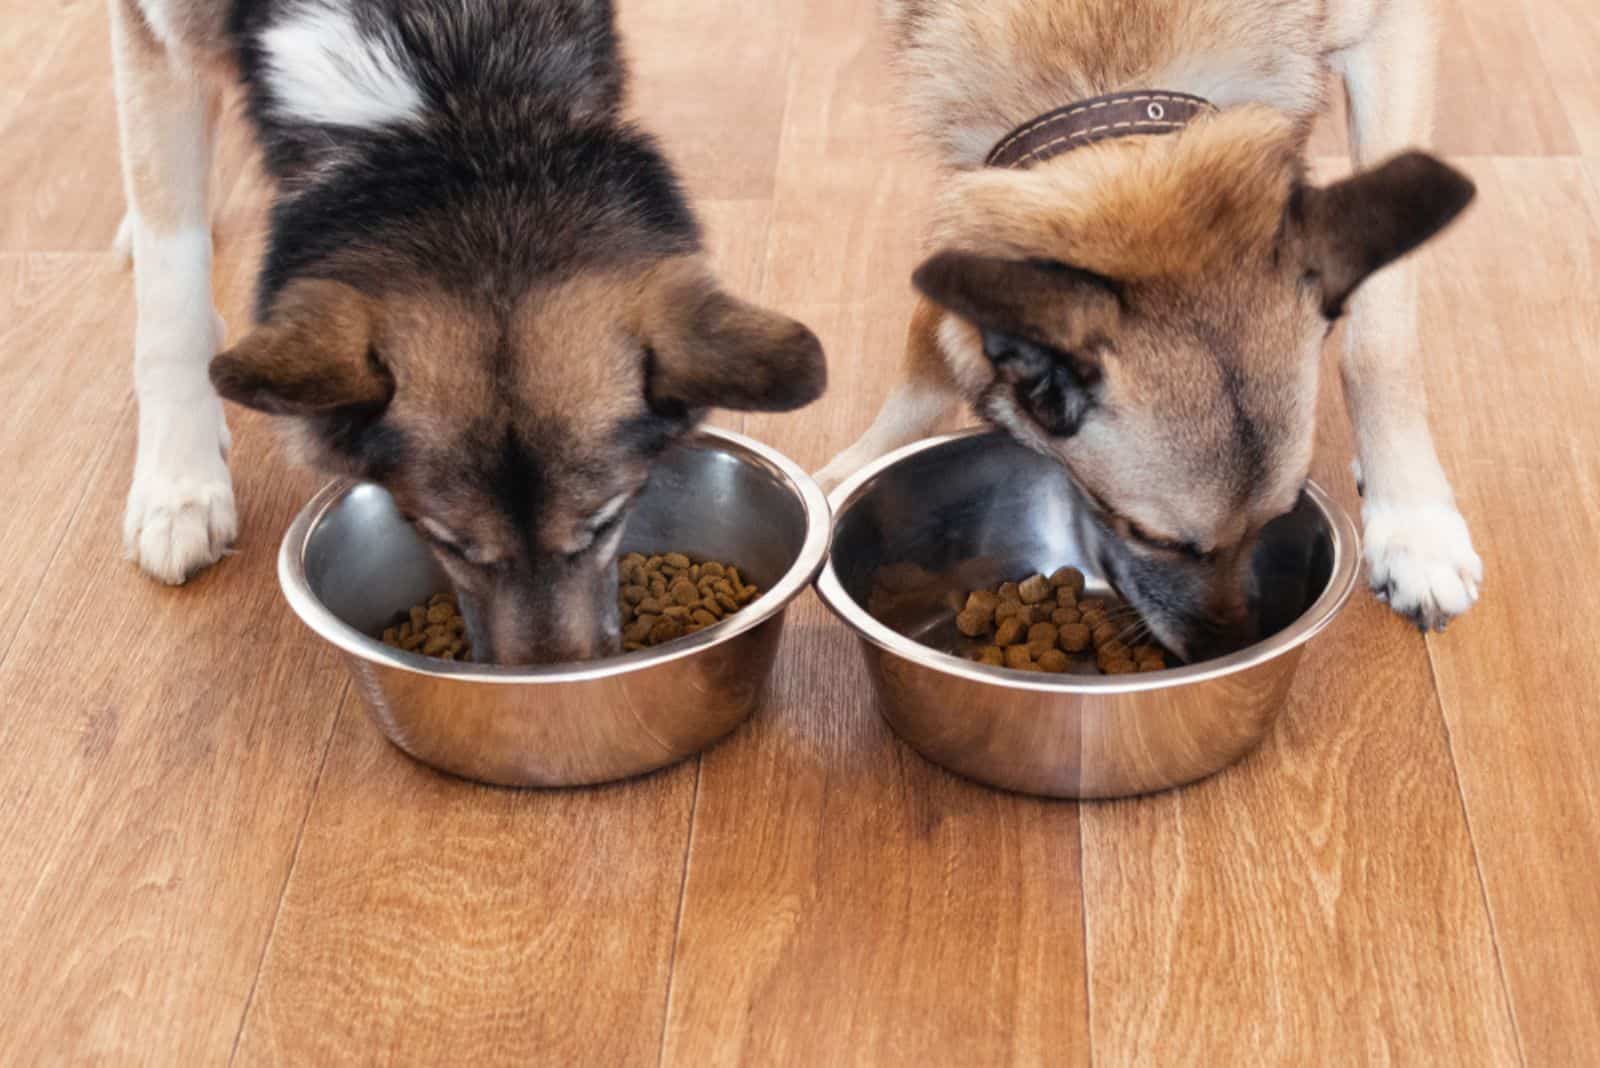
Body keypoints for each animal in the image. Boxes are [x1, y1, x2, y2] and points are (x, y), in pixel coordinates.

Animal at [116, 0, 825, 661]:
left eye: (605, 524)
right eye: (447, 541)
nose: (547, 688)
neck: (455, 92)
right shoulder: (155, 33)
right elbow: (172, 292)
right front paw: (179, 487)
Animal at [825, 0, 1484, 661]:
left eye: (1278, 516)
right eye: (1144, 534)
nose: (1224, 649)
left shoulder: (1394, 29)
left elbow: (1379, 340)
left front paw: (1414, 523)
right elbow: (929, 327)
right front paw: (849, 471)